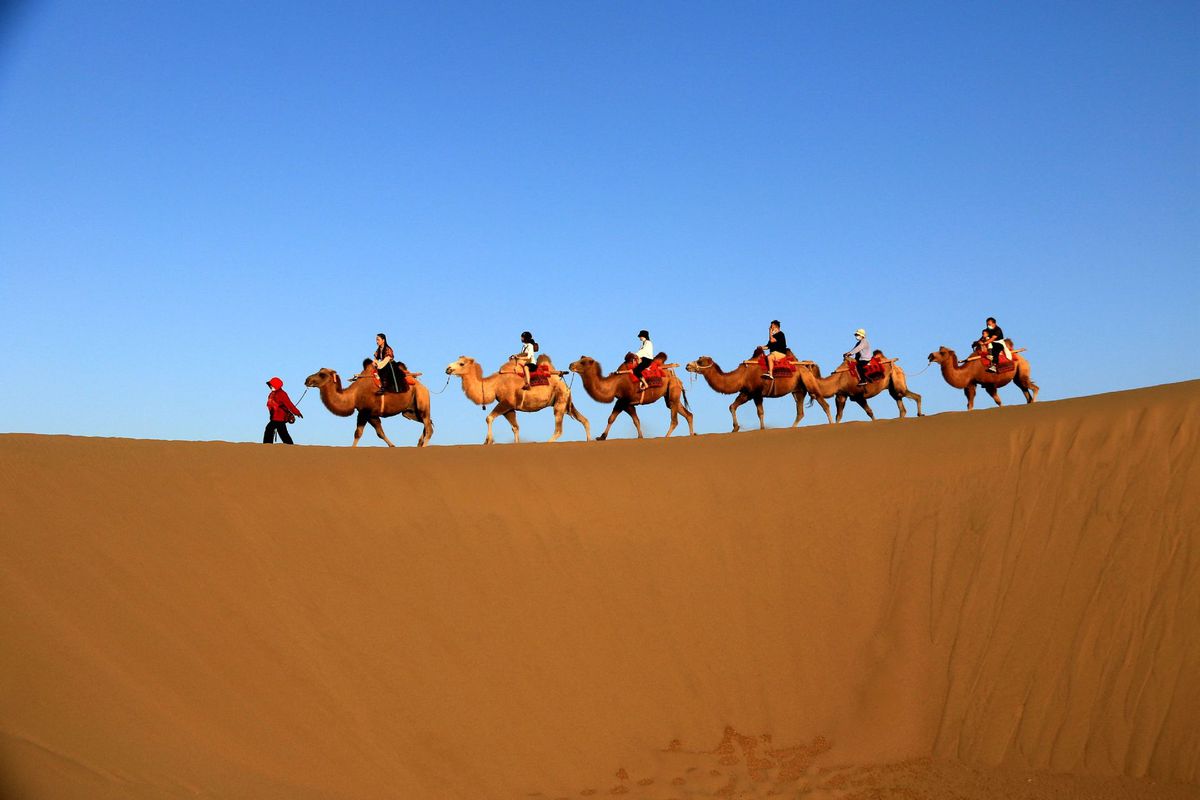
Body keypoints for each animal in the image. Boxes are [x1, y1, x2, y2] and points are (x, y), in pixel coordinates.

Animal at [302, 367, 434, 448]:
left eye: (322, 374)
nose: (307, 380)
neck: (353, 396)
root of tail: (425, 388)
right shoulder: (372, 415)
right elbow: (380, 433)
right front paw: (393, 446)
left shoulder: (364, 412)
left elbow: (358, 433)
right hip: (409, 411)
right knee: (428, 422)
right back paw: (419, 444)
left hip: (422, 401)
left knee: (428, 425)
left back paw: (423, 446)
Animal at [444, 357, 592, 443]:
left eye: (461, 363)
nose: (448, 368)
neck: (493, 384)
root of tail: (565, 385)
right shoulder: (509, 409)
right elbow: (515, 428)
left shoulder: (506, 403)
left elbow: (489, 418)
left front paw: (488, 441)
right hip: (565, 403)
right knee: (584, 420)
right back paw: (589, 440)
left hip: (559, 403)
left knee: (559, 430)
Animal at [568, 357, 696, 441]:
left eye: (583, 362)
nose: (570, 365)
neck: (614, 384)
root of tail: (676, 377)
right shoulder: (622, 402)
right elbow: (613, 418)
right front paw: (601, 437)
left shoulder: (625, 401)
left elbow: (633, 420)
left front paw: (640, 436)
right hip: (670, 395)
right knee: (687, 414)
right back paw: (691, 434)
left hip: (673, 389)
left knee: (674, 419)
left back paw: (666, 437)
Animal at [686, 352, 835, 431]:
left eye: (700, 361)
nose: (688, 365)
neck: (741, 376)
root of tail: (807, 366)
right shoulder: (747, 393)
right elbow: (732, 406)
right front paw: (735, 428)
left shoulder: (757, 393)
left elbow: (760, 412)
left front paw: (762, 429)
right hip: (798, 390)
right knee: (800, 411)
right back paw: (792, 428)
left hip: (808, 382)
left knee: (822, 402)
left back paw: (832, 424)